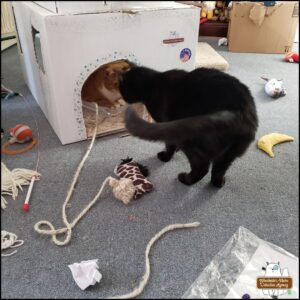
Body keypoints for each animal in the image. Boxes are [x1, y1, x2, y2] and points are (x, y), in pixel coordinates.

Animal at [119, 67, 258, 186]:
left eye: (122, 89)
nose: (124, 100)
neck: (152, 83)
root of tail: (237, 110)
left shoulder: (167, 125)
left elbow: (169, 146)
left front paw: (165, 157)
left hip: (190, 142)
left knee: (202, 168)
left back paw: (185, 179)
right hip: (229, 153)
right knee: (219, 169)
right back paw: (218, 183)